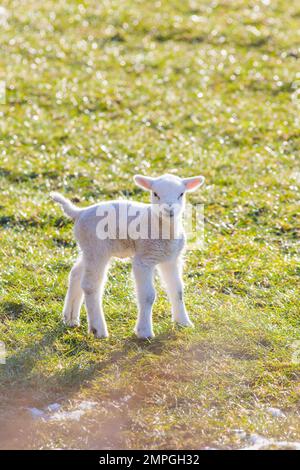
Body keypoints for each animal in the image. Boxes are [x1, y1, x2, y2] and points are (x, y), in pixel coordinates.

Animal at [51, 173, 204, 338]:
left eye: (181, 194)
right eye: (155, 194)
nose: (169, 209)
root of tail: (79, 212)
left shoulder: (171, 259)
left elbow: (177, 290)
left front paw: (183, 322)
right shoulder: (143, 260)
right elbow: (148, 296)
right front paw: (144, 332)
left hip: (87, 248)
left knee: (76, 274)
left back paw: (70, 318)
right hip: (97, 248)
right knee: (90, 285)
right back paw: (98, 329)